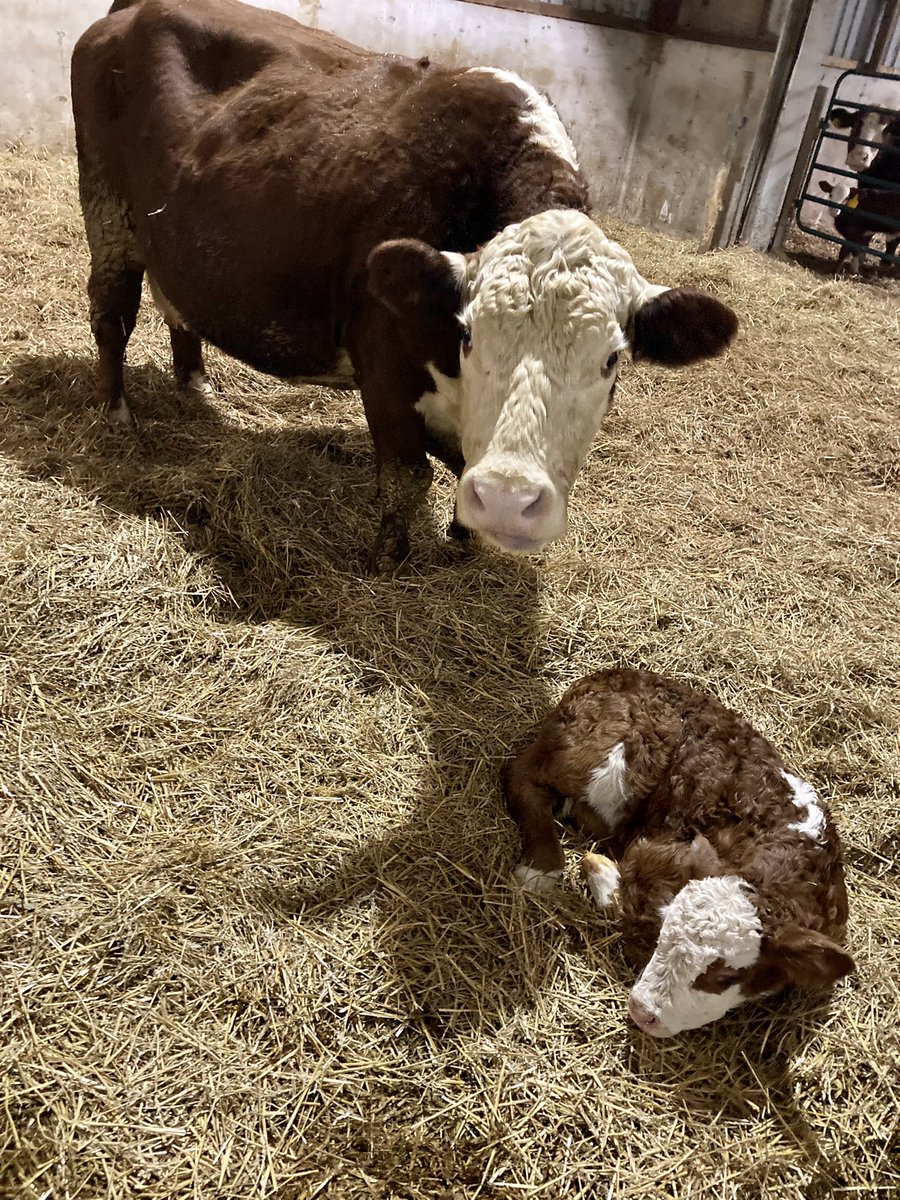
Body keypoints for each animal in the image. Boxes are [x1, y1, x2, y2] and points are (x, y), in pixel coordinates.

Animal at [71, 0, 738, 573]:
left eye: (611, 361)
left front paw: (464, 536)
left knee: (176, 305)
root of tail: (134, 11)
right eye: (467, 336)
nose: (508, 501)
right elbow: (406, 476)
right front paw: (387, 561)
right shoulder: (383, 362)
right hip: (108, 213)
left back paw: (196, 385)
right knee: (112, 316)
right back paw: (117, 414)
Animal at [502, 669, 854, 1037]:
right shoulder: (653, 853)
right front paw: (600, 870)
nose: (642, 1010)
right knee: (521, 774)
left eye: (727, 976)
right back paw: (541, 867)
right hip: (601, 760)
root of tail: (613, 674)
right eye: (664, 933)